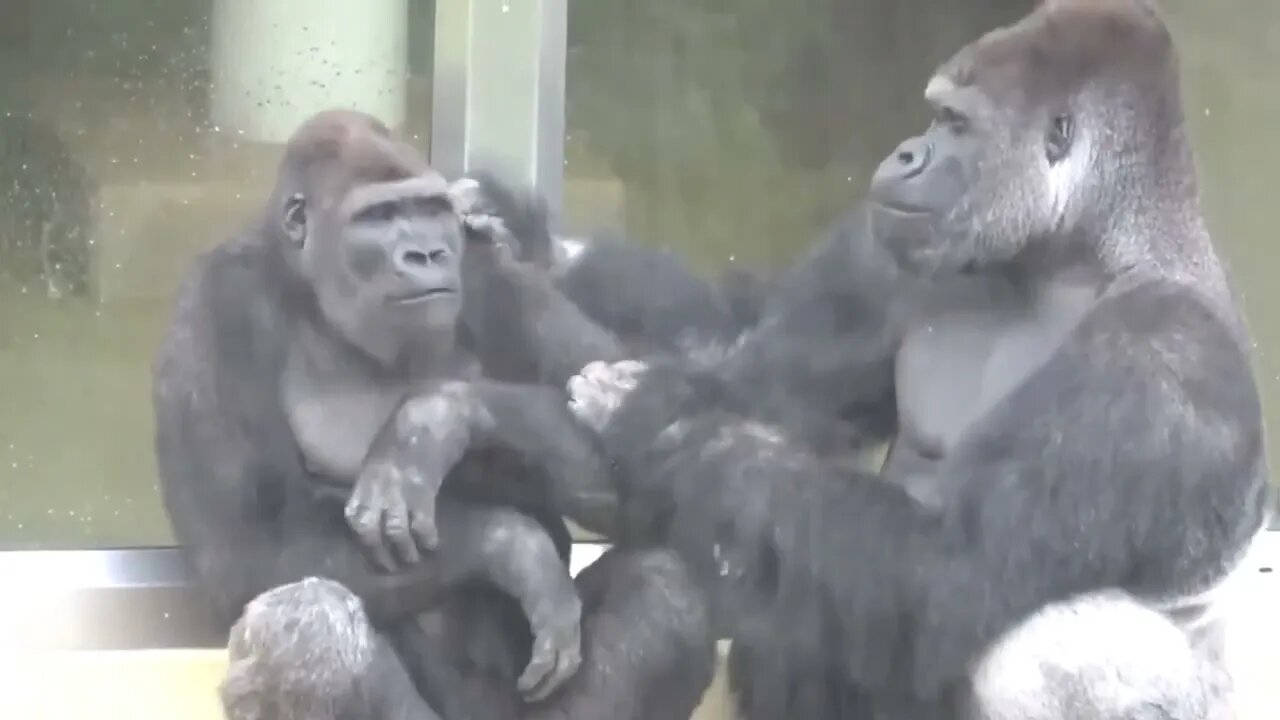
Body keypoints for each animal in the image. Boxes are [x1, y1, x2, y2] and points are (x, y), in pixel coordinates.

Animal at [153, 107, 716, 717]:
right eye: (377, 217)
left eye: (428, 209)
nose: (426, 254)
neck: (312, 295)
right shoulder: (214, 308)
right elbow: (244, 550)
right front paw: (511, 546)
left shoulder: (488, 270)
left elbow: (649, 454)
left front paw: (435, 421)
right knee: (305, 622)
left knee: (665, 584)